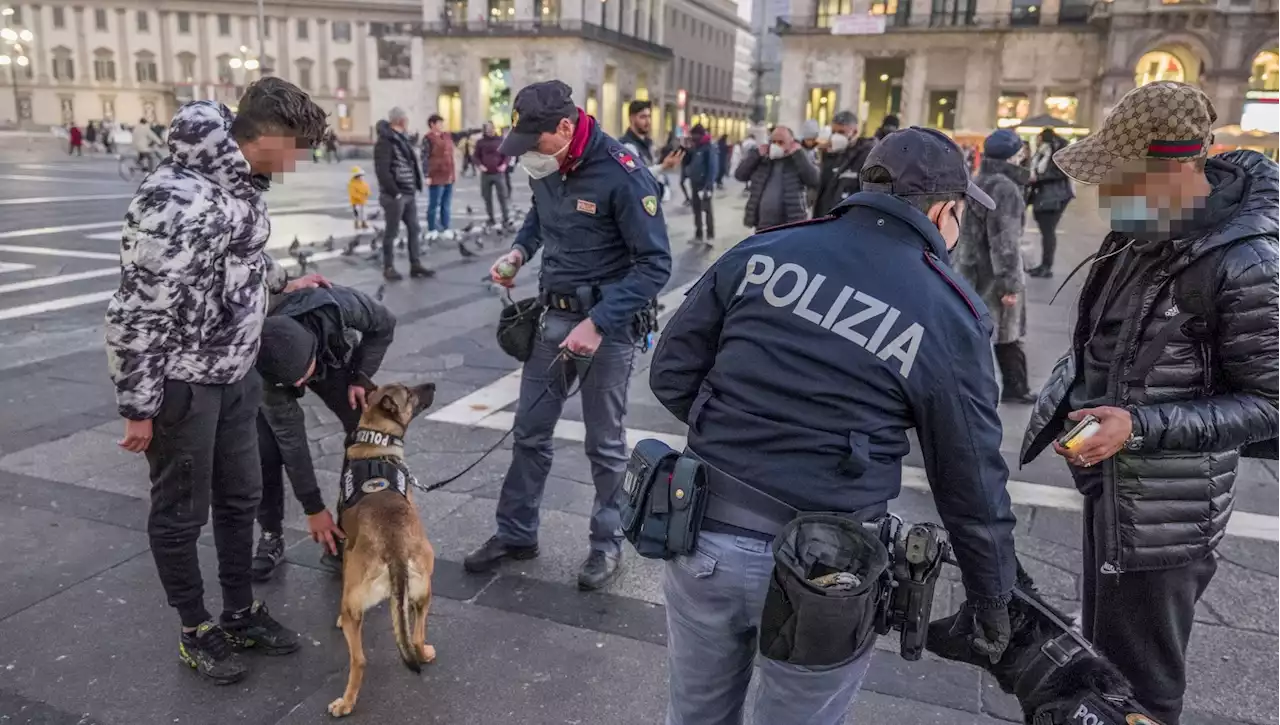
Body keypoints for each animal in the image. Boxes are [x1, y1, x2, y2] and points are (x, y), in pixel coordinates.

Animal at [327, 384, 437, 717]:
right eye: (410, 394)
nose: (432, 386)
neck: (376, 441)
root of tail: (396, 550)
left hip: (355, 607)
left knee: (361, 659)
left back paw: (346, 701)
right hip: (425, 589)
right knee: (416, 636)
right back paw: (424, 653)